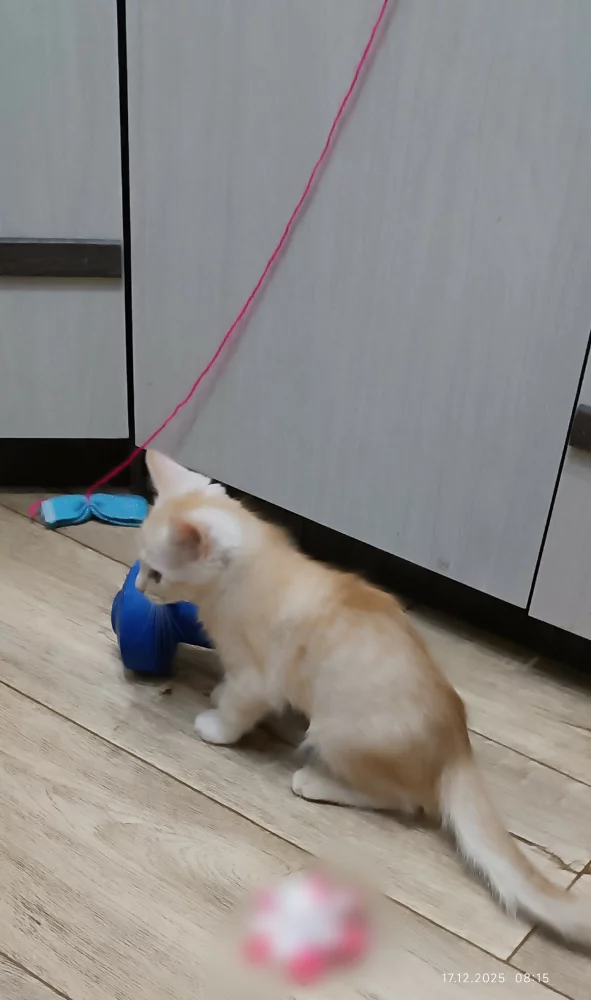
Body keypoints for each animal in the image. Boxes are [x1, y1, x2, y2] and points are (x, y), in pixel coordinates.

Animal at [137, 449, 590, 947]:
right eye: (141, 566)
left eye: (156, 573)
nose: (138, 587)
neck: (246, 571)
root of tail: (457, 743)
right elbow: (229, 684)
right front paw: (217, 693)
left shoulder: (258, 676)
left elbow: (239, 705)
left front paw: (216, 725)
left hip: (337, 733)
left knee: (405, 800)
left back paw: (315, 782)